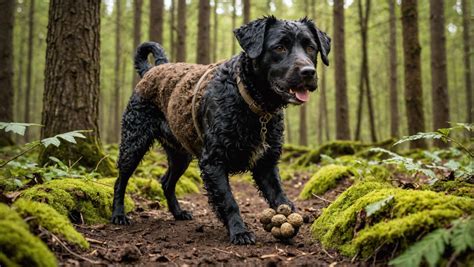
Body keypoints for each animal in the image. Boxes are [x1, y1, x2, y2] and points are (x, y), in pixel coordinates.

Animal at [113, 16, 332, 245]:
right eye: (279, 47)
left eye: (311, 47)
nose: (308, 72)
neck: (249, 100)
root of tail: (154, 69)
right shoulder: (213, 161)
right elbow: (229, 201)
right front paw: (239, 231)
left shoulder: (266, 163)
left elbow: (280, 197)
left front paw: (288, 221)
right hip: (134, 142)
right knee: (121, 180)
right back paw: (118, 214)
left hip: (180, 154)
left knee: (166, 182)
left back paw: (178, 212)